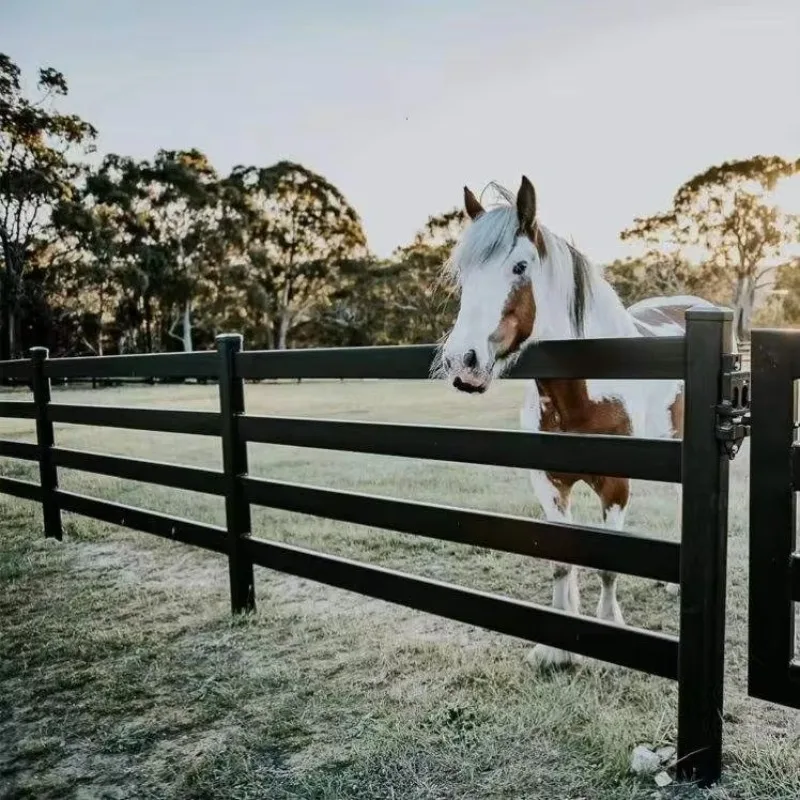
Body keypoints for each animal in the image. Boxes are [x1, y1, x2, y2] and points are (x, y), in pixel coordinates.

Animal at [436, 175, 718, 668]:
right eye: (465, 275)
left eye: (520, 267)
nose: (462, 361)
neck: (582, 394)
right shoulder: (549, 485)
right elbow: (560, 562)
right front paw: (555, 646)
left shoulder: (615, 485)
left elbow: (609, 563)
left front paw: (607, 636)